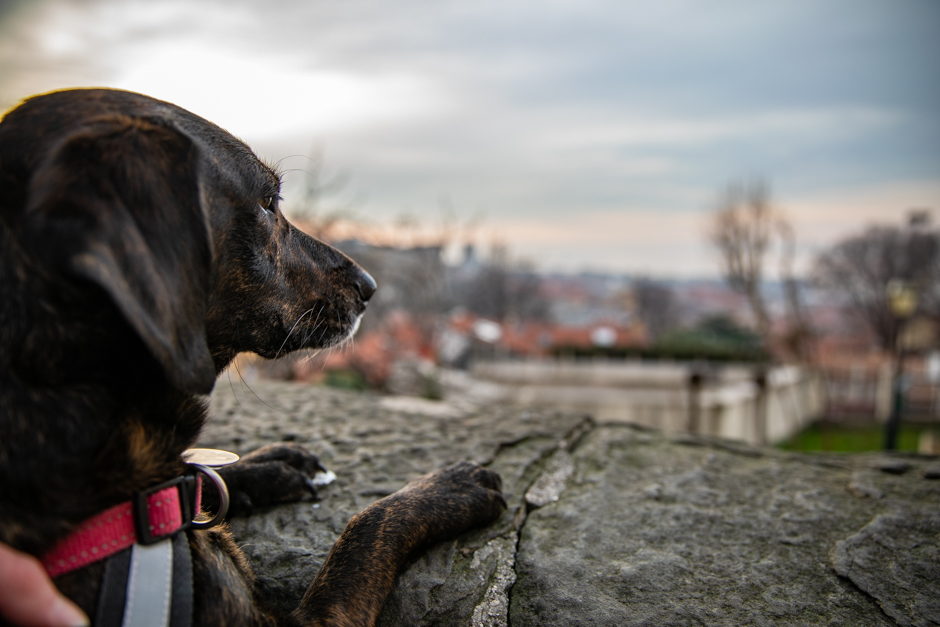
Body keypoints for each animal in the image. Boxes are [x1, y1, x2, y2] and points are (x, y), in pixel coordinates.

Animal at [0, 88, 506, 627]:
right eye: (267, 203)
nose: (370, 287)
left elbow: (201, 474)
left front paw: (265, 465)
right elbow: (366, 529)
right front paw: (446, 488)